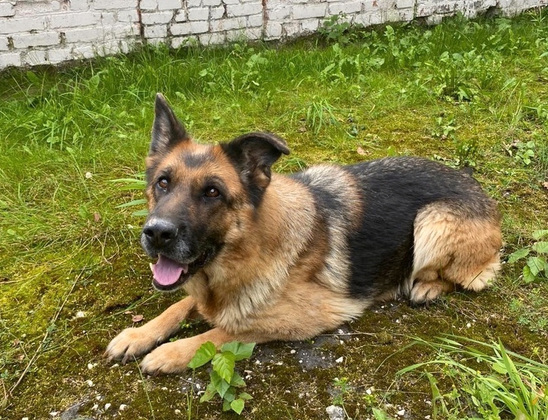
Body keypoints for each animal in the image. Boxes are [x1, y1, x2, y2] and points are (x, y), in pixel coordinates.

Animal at [105, 94, 502, 374]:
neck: (251, 247)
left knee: (468, 276)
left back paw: (427, 287)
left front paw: (171, 352)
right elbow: (180, 304)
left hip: (432, 222)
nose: (156, 234)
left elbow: (226, 330)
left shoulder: (310, 316)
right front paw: (138, 335)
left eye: (213, 192)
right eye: (163, 183)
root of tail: (476, 186)